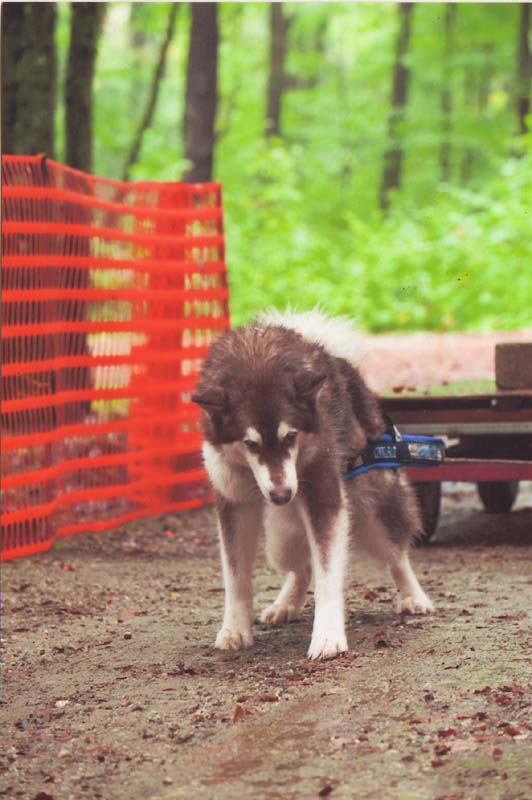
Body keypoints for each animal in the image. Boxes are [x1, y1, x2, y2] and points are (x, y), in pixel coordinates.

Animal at [191, 310, 432, 660]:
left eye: (291, 435)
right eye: (250, 444)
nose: (281, 495)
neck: (258, 354)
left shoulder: (324, 494)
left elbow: (328, 573)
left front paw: (328, 635)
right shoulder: (233, 499)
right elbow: (235, 575)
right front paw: (235, 628)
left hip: (376, 512)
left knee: (396, 553)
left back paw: (414, 596)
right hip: (281, 540)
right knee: (300, 566)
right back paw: (285, 603)